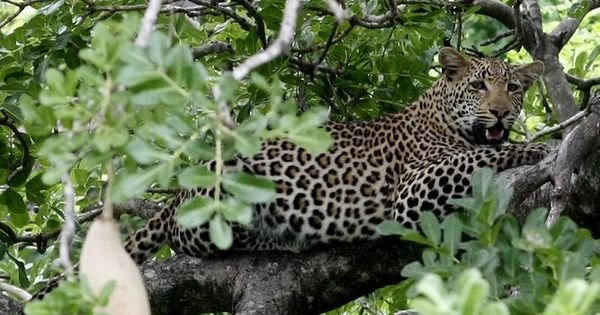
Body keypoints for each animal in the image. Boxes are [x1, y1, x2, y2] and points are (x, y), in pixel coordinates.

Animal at [31, 47, 548, 302]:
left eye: (514, 87)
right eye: (479, 86)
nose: (502, 112)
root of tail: (177, 190)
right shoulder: (412, 190)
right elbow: (475, 159)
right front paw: (539, 147)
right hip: (227, 182)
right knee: (190, 235)